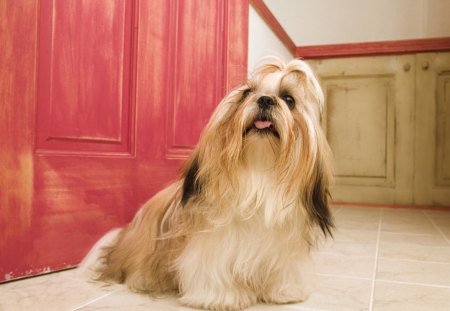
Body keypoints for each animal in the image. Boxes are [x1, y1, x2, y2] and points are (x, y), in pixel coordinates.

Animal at [80, 58, 334, 311]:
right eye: (247, 93)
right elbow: (215, 271)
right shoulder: (215, 246)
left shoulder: (284, 248)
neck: (257, 174)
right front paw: (223, 297)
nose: (264, 99)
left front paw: (284, 292)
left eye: (289, 100)